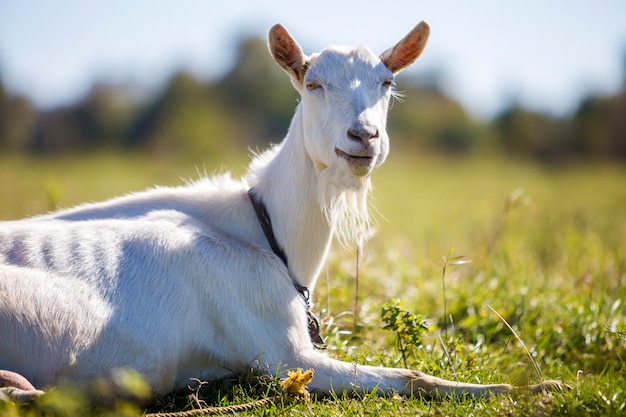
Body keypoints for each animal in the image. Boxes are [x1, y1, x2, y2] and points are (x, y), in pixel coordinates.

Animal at [0, 22, 560, 400]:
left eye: (386, 83)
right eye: (312, 83)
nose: (364, 136)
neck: (263, 229)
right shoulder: (284, 351)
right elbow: (410, 374)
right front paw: (528, 389)